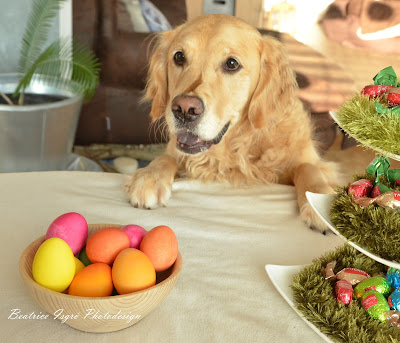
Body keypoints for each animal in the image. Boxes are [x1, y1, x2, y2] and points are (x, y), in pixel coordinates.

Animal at [126, 14, 338, 232]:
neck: (239, 147)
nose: (184, 109)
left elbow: (307, 167)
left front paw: (319, 203)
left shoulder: (315, 163)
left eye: (231, 63)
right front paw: (149, 176)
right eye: (179, 57)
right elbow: (166, 158)